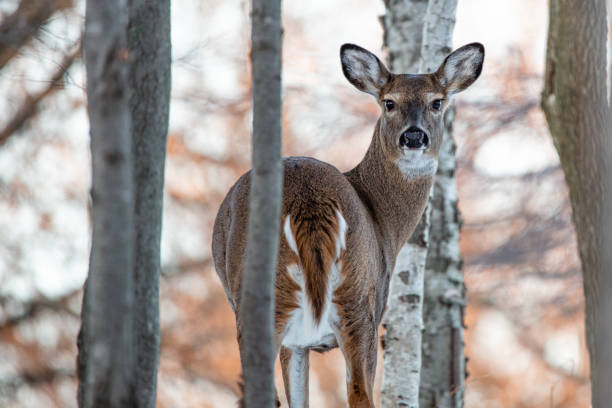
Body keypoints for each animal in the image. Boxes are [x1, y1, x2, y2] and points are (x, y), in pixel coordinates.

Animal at [213, 42, 486, 408]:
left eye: (436, 102)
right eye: (389, 102)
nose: (414, 136)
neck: (383, 220)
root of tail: (309, 200)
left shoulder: (298, 341)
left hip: (266, 307)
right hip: (357, 301)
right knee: (359, 394)